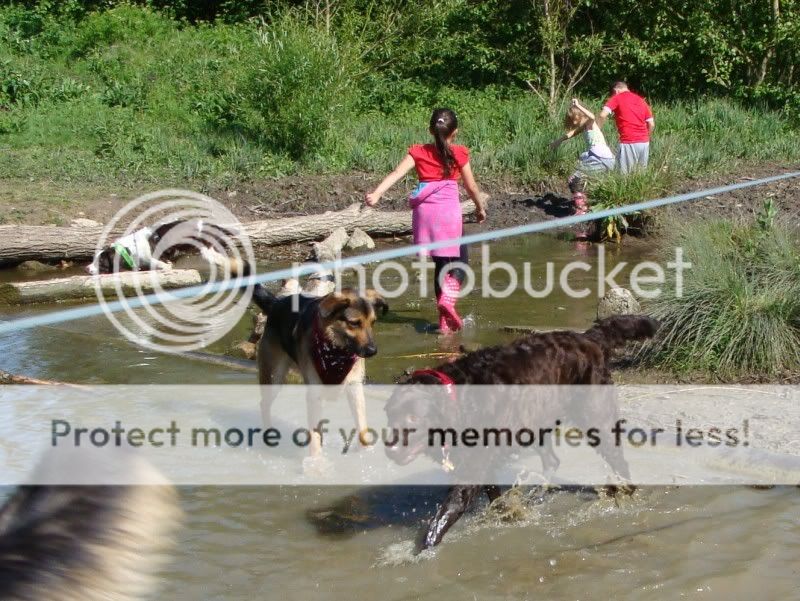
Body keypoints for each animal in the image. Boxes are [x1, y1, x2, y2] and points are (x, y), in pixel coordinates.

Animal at [86, 219, 244, 276]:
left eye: (100, 262)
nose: (86, 268)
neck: (131, 250)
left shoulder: (157, 260)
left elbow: (163, 266)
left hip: (207, 250)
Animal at [250, 284, 388, 458]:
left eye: (373, 322)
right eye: (354, 323)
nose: (372, 351)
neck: (337, 350)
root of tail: (276, 303)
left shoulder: (355, 387)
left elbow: (362, 424)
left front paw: (367, 452)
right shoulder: (314, 394)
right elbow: (315, 435)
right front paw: (316, 461)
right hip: (274, 378)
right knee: (264, 405)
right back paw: (269, 436)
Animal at [384, 312, 660, 552]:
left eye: (414, 417)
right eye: (390, 415)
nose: (391, 450)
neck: (461, 398)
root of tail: (590, 338)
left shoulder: (473, 468)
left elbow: (446, 512)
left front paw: (423, 547)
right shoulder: (483, 459)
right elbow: (493, 495)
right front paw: (505, 512)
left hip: (595, 416)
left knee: (618, 459)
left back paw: (624, 494)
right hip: (536, 422)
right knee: (553, 461)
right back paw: (537, 496)